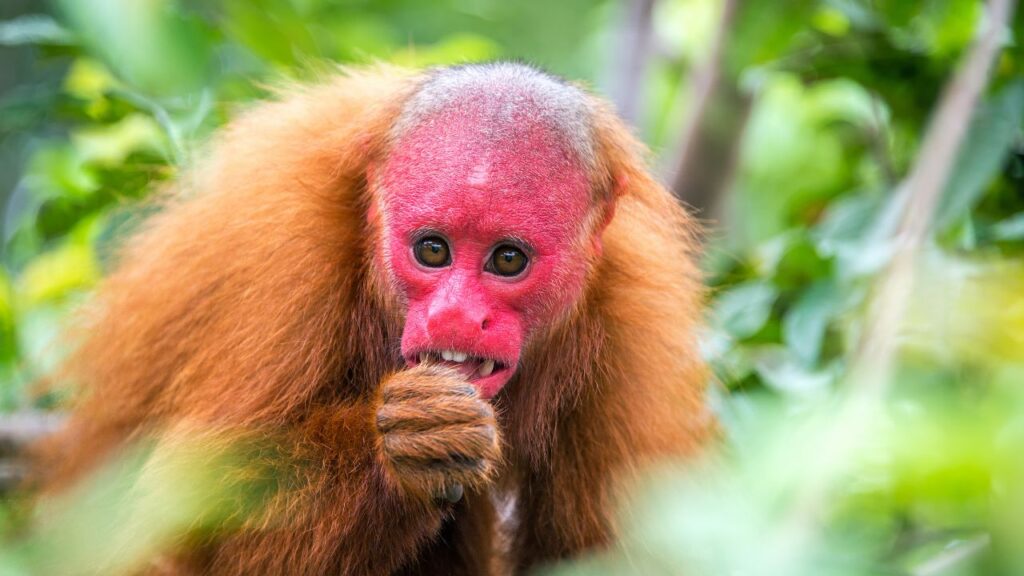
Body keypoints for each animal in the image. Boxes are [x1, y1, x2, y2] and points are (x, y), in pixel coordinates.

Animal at [35, 63, 711, 575]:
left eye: (508, 259)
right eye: (432, 250)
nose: (455, 314)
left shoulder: (631, 325)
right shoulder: (282, 261)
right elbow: (189, 531)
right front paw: (405, 448)